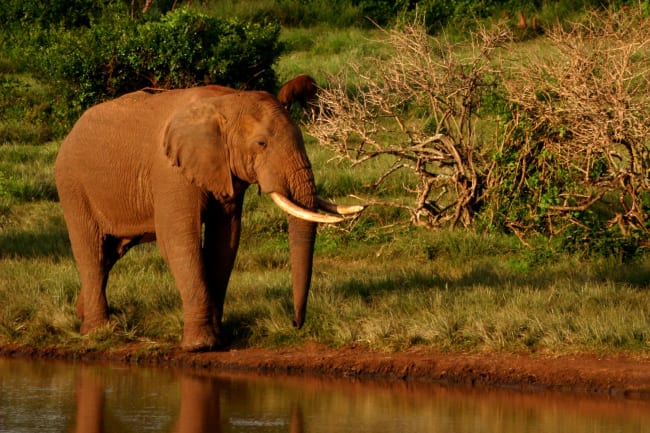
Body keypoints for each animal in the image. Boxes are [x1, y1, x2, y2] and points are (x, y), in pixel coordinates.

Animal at [53, 85, 362, 352]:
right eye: (261, 143)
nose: (295, 324)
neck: (225, 101)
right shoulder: (170, 172)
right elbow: (179, 241)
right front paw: (201, 346)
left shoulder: (224, 172)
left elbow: (224, 241)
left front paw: (220, 339)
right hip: (72, 185)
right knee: (92, 253)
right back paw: (97, 332)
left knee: (110, 254)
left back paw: (85, 316)